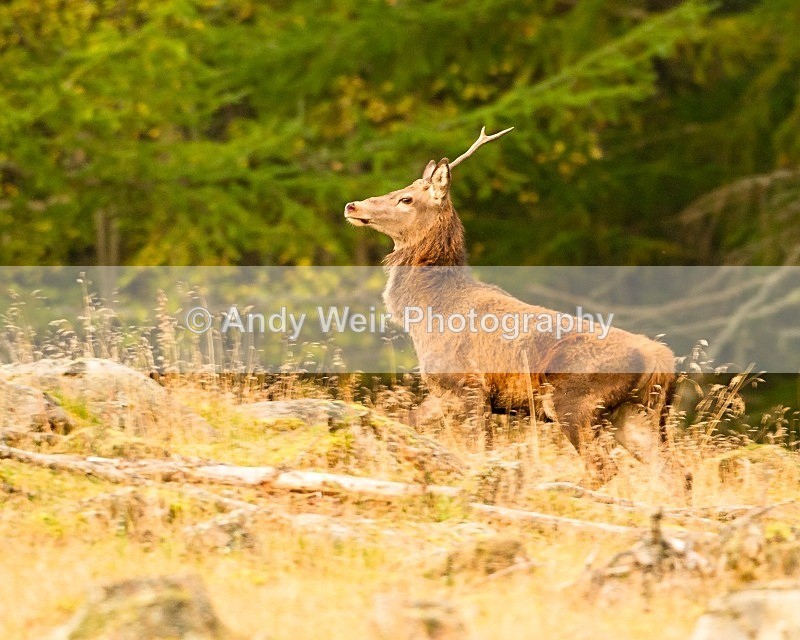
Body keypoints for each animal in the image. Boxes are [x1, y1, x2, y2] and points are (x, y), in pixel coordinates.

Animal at [344, 127, 677, 487]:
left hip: (575, 401)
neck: (430, 311)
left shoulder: (471, 385)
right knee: (676, 473)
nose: (352, 205)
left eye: (406, 199)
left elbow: (480, 450)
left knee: (604, 467)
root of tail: (660, 360)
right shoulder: (443, 393)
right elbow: (401, 421)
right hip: (636, 414)